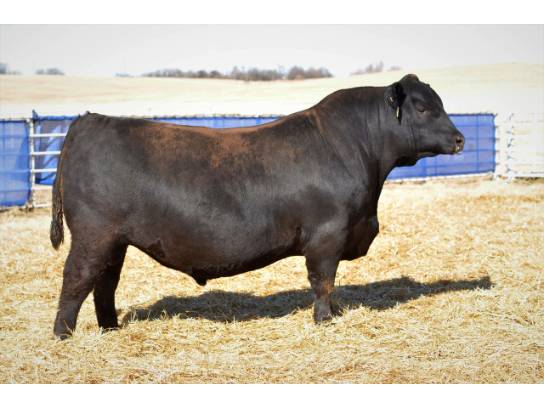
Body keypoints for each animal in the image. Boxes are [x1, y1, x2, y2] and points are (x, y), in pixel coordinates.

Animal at [50, 74, 464, 339]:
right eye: (422, 107)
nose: (460, 139)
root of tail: (89, 121)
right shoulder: (327, 235)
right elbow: (323, 282)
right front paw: (325, 320)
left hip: (114, 241)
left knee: (105, 283)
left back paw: (110, 328)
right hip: (93, 235)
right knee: (77, 279)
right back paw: (63, 335)